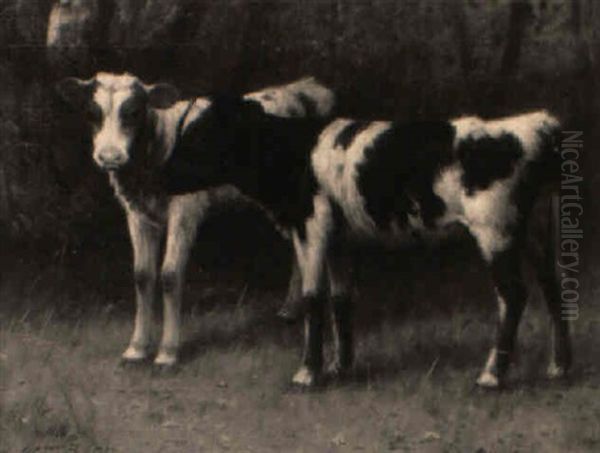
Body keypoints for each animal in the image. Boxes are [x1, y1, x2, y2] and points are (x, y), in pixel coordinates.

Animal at [56, 71, 336, 368]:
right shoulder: (137, 213)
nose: (110, 156)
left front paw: (167, 353)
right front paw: (137, 349)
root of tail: (308, 85)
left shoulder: (185, 210)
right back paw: (290, 310)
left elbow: (169, 274)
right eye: (91, 113)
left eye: (133, 112)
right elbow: (142, 275)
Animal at [163, 100, 572, 388]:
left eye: (200, 136)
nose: (161, 175)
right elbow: (342, 298)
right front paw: (339, 366)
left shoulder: (312, 226)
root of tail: (536, 123)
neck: (293, 152)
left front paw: (307, 374)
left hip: (495, 230)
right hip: (536, 228)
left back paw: (492, 376)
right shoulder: (340, 238)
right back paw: (558, 367)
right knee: (553, 287)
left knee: (513, 295)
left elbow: (312, 297)